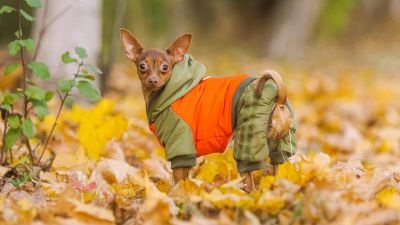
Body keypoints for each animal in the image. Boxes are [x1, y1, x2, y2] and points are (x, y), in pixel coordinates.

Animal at [118, 28, 294, 192]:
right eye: (142, 66)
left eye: (165, 67)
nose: (153, 80)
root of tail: (279, 98)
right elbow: (185, 178)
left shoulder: (180, 147)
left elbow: (178, 181)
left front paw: (177, 195)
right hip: (279, 148)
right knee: (276, 170)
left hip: (249, 142)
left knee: (251, 180)